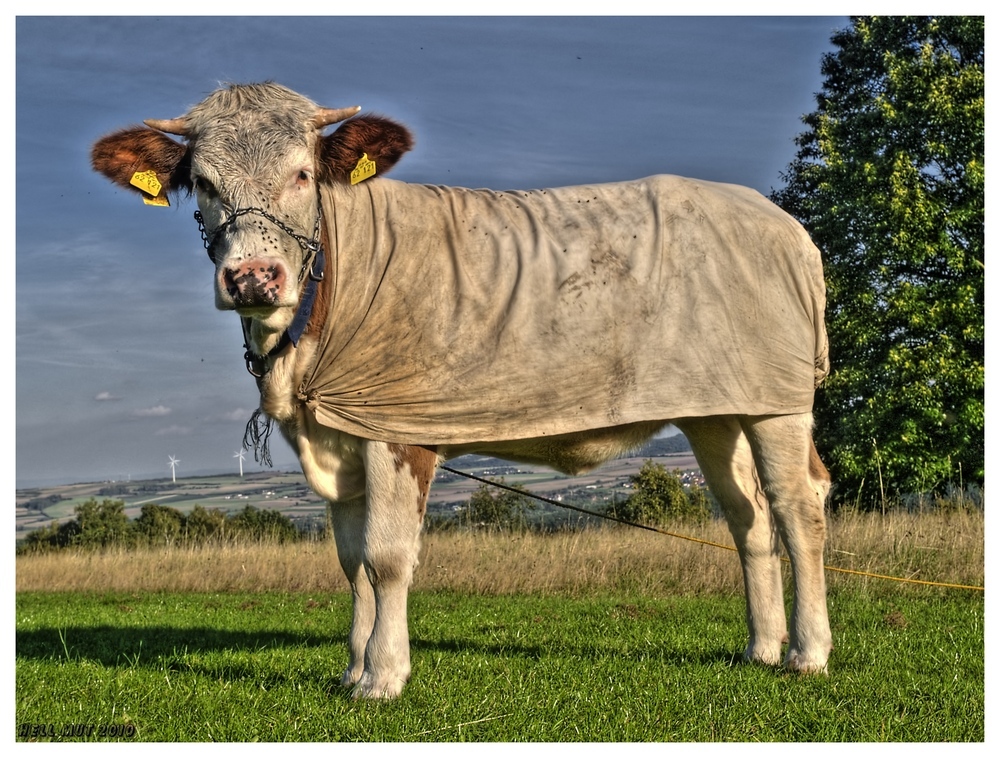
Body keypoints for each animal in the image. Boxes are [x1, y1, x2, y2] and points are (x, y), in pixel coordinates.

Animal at [94, 83, 832, 700]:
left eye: (303, 173)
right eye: (203, 183)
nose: (252, 277)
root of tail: (778, 219)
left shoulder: (395, 431)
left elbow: (387, 558)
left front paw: (383, 677)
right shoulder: (340, 434)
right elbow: (351, 562)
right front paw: (352, 669)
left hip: (779, 402)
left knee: (797, 509)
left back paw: (808, 652)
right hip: (719, 407)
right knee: (747, 516)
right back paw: (761, 647)